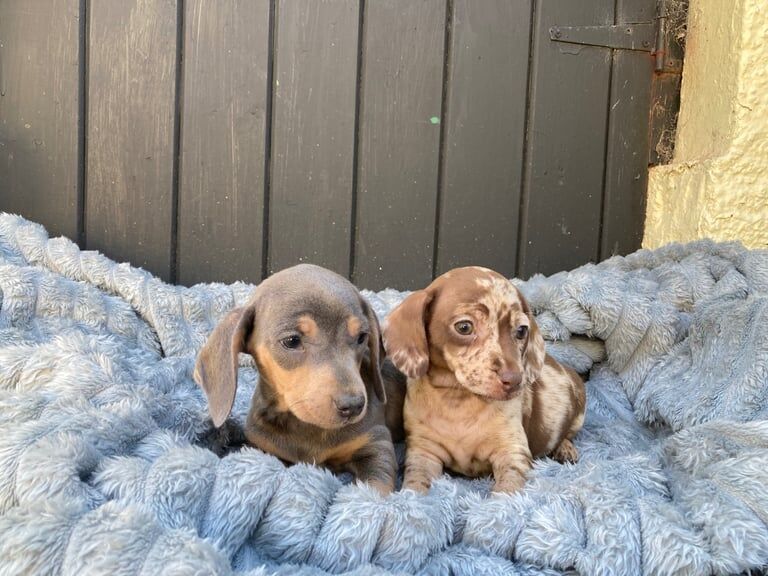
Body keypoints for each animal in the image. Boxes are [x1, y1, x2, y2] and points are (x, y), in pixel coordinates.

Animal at [195, 266, 404, 496]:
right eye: (291, 341)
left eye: (361, 337)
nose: (353, 406)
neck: (305, 425)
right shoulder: (263, 447)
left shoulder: (376, 442)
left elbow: (375, 487)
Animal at [384, 268, 584, 492]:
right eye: (464, 327)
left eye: (521, 330)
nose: (515, 380)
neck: (457, 400)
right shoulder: (424, 451)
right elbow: (416, 483)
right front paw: (410, 496)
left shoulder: (513, 452)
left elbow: (508, 489)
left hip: (578, 413)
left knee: (568, 434)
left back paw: (565, 449)